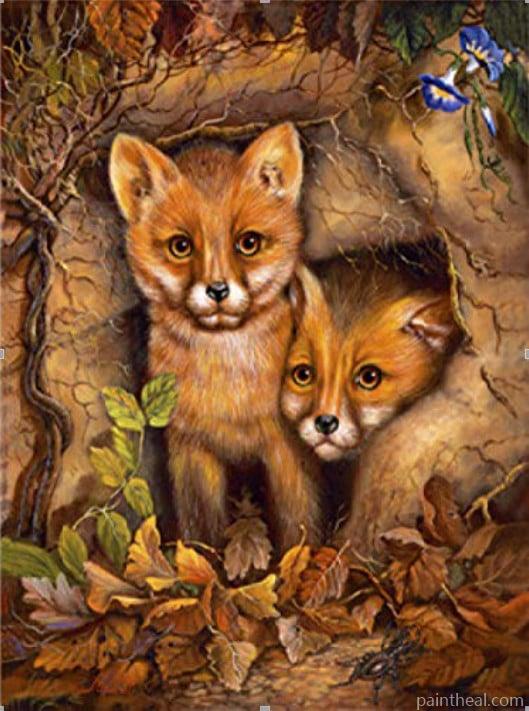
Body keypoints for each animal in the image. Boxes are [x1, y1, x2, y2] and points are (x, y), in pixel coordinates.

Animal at [109, 124, 321, 551]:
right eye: (181, 246)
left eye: (248, 243)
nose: (218, 290)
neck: (230, 396)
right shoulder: (191, 450)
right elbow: (201, 534)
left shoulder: (288, 451)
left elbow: (299, 528)